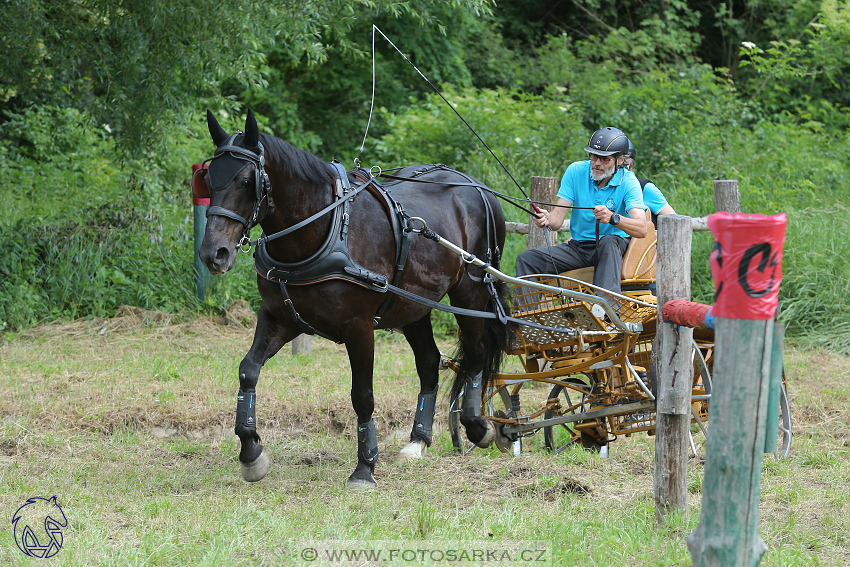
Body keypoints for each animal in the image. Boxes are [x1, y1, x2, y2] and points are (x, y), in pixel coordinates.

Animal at [195, 111, 506, 488]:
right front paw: (251, 451)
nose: (214, 254)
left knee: (476, 353)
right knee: (430, 363)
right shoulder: (280, 317)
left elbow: (362, 396)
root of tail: (475, 186)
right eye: (207, 180)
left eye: (244, 181)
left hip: (471, 293)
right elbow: (248, 371)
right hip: (413, 305)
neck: (322, 228)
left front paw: (364, 467)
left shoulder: (359, 328)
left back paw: (477, 426)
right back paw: (417, 441)